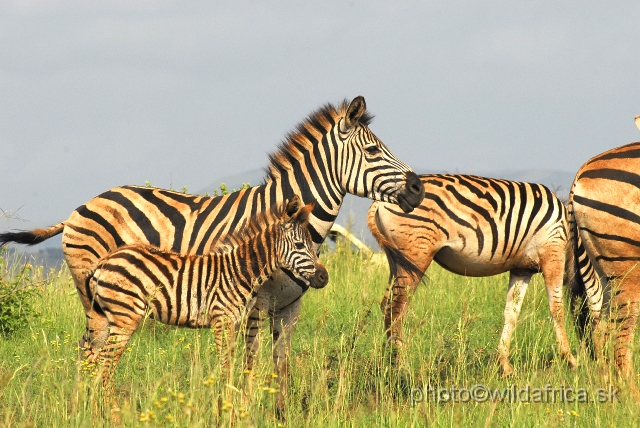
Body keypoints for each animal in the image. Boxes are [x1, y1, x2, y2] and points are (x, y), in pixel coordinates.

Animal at [84, 196, 324, 406]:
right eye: (300, 245)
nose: (324, 277)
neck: (240, 271)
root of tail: (104, 261)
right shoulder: (222, 320)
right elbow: (226, 368)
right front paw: (226, 412)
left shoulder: (235, 323)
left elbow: (233, 365)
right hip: (125, 317)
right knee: (105, 365)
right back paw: (113, 415)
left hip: (105, 317)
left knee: (95, 364)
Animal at [364, 174, 580, 374]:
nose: (588, 355)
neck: (570, 240)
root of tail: (379, 201)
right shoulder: (552, 253)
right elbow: (557, 309)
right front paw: (570, 359)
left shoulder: (522, 268)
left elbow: (511, 313)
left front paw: (504, 365)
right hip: (417, 252)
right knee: (397, 309)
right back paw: (400, 365)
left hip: (398, 260)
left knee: (386, 305)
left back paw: (390, 362)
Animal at [568, 141, 640, 388]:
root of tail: (581, 172)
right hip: (626, 265)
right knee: (620, 336)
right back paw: (628, 395)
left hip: (604, 271)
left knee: (600, 329)